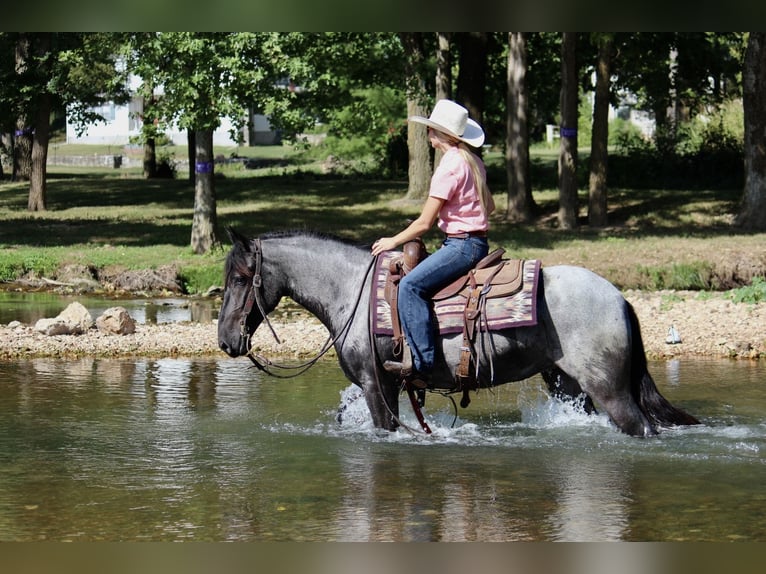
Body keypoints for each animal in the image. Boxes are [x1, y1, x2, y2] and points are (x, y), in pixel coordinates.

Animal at [217, 228, 699, 437]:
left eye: (240, 278)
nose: (225, 340)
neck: (351, 291)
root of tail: (618, 297)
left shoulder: (376, 385)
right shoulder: (383, 385)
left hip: (609, 388)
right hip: (568, 384)